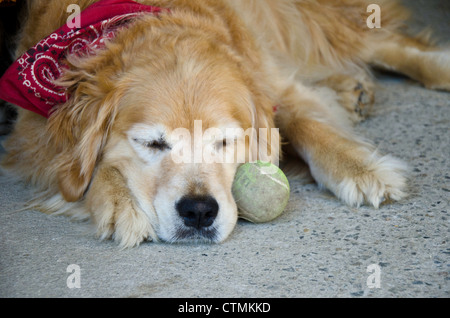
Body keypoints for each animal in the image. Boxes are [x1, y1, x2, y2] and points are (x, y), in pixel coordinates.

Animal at [0, 0, 450, 246]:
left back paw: (436, 67)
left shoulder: (269, 80)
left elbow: (307, 122)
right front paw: (118, 202)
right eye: (151, 144)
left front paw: (359, 168)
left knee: (379, 40)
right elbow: (80, 170)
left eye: (225, 142)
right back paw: (349, 88)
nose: (199, 212)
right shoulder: (30, 134)